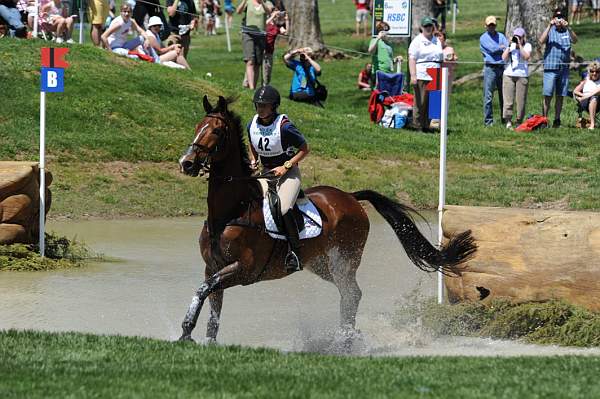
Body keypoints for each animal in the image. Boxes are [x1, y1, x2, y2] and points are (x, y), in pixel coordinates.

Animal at [176, 96, 476, 344]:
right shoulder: (213, 267)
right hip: (321, 263)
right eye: (198, 126)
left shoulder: (244, 269)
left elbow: (203, 290)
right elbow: (212, 303)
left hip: (344, 258)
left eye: (216, 131)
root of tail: (351, 197)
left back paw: (345, 339)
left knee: (352, 294)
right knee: (348, 294)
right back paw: (346, 336)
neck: (230, 211)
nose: (186, 163)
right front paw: (202, 340)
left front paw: (186, 333)